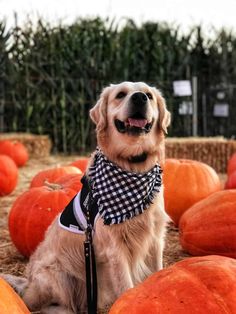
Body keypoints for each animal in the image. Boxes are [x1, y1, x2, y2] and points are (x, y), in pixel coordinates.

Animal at [3, 81, 170, 314]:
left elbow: (157, 271)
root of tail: (28, 281)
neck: (132, 169)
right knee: (39, 303)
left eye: (149, 95)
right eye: (121, 95)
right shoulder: (115, 249)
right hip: (57, 274)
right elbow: (126, 287)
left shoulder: (154, 238)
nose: (139, 98)